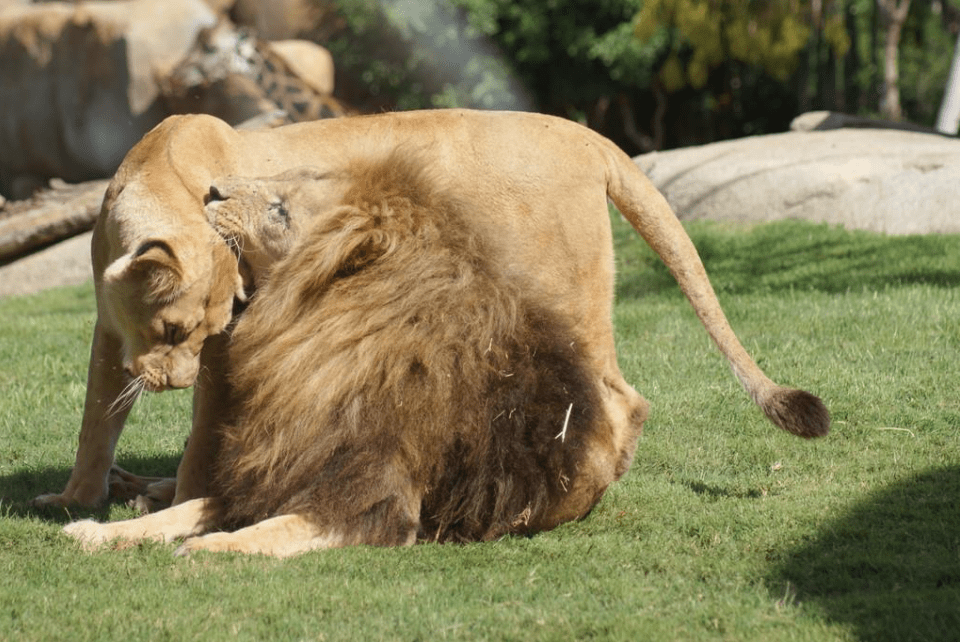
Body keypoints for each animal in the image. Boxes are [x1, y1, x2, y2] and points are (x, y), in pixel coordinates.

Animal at [37, 109, 828, 516]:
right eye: (172, 330)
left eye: (201, 332)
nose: (172, 381)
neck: (158, 173)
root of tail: (585, 133)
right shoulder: (110, 332)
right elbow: (94, 424)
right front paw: (75, 499)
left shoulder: (228, 351)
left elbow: (204, 439)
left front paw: (186, 497)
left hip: (560, 295)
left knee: (621, 398)